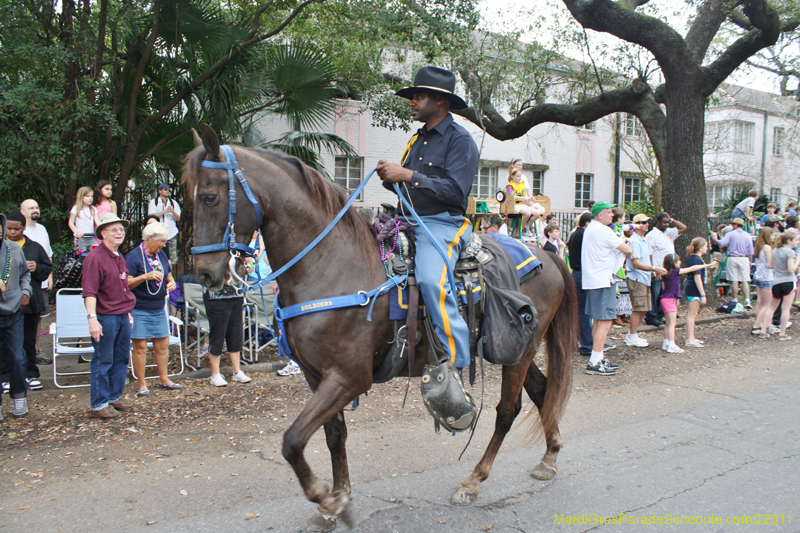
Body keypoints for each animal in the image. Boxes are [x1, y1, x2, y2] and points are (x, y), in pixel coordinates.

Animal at [184, 127, 576, 528]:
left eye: (210, 197)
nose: (205, 275)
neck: (330, 264)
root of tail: (546, 255)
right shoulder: (316, 375)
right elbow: (334, 436)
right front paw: (337, 500)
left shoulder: (350, 377)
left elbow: (292, 441)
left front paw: (325, 498)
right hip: (521, 353)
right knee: (542, 391)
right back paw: (549, 456)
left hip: (518, 353)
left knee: (506, 412)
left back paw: (473, 481)